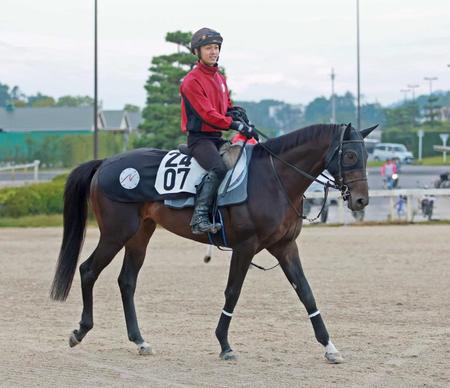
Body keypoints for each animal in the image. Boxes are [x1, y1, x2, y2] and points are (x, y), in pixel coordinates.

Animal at [50, 123, 376, 362]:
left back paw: (140, 340)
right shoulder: (245, 247)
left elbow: (306, 293)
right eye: (349, 156)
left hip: (140, 234)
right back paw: (81, 330)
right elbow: (233, 292)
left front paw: (329, 346)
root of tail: (106, 162)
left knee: (127, 281)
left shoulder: (285, 247)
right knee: (88, 270)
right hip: (116, 233)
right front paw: (224, 344)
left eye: (366, 155)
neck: (274, 178)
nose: (361, 200)